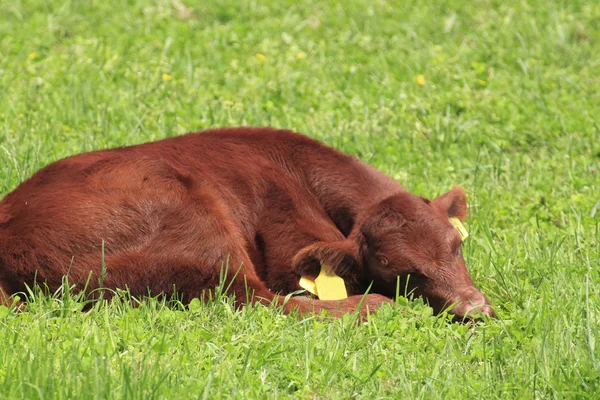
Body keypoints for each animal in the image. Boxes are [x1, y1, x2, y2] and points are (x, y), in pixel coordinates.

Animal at [0, 126, 494, 320]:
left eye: (456, 245)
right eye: (403, 271)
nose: (475, 308)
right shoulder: (287, 240)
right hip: (195, 225)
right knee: (255, 300)